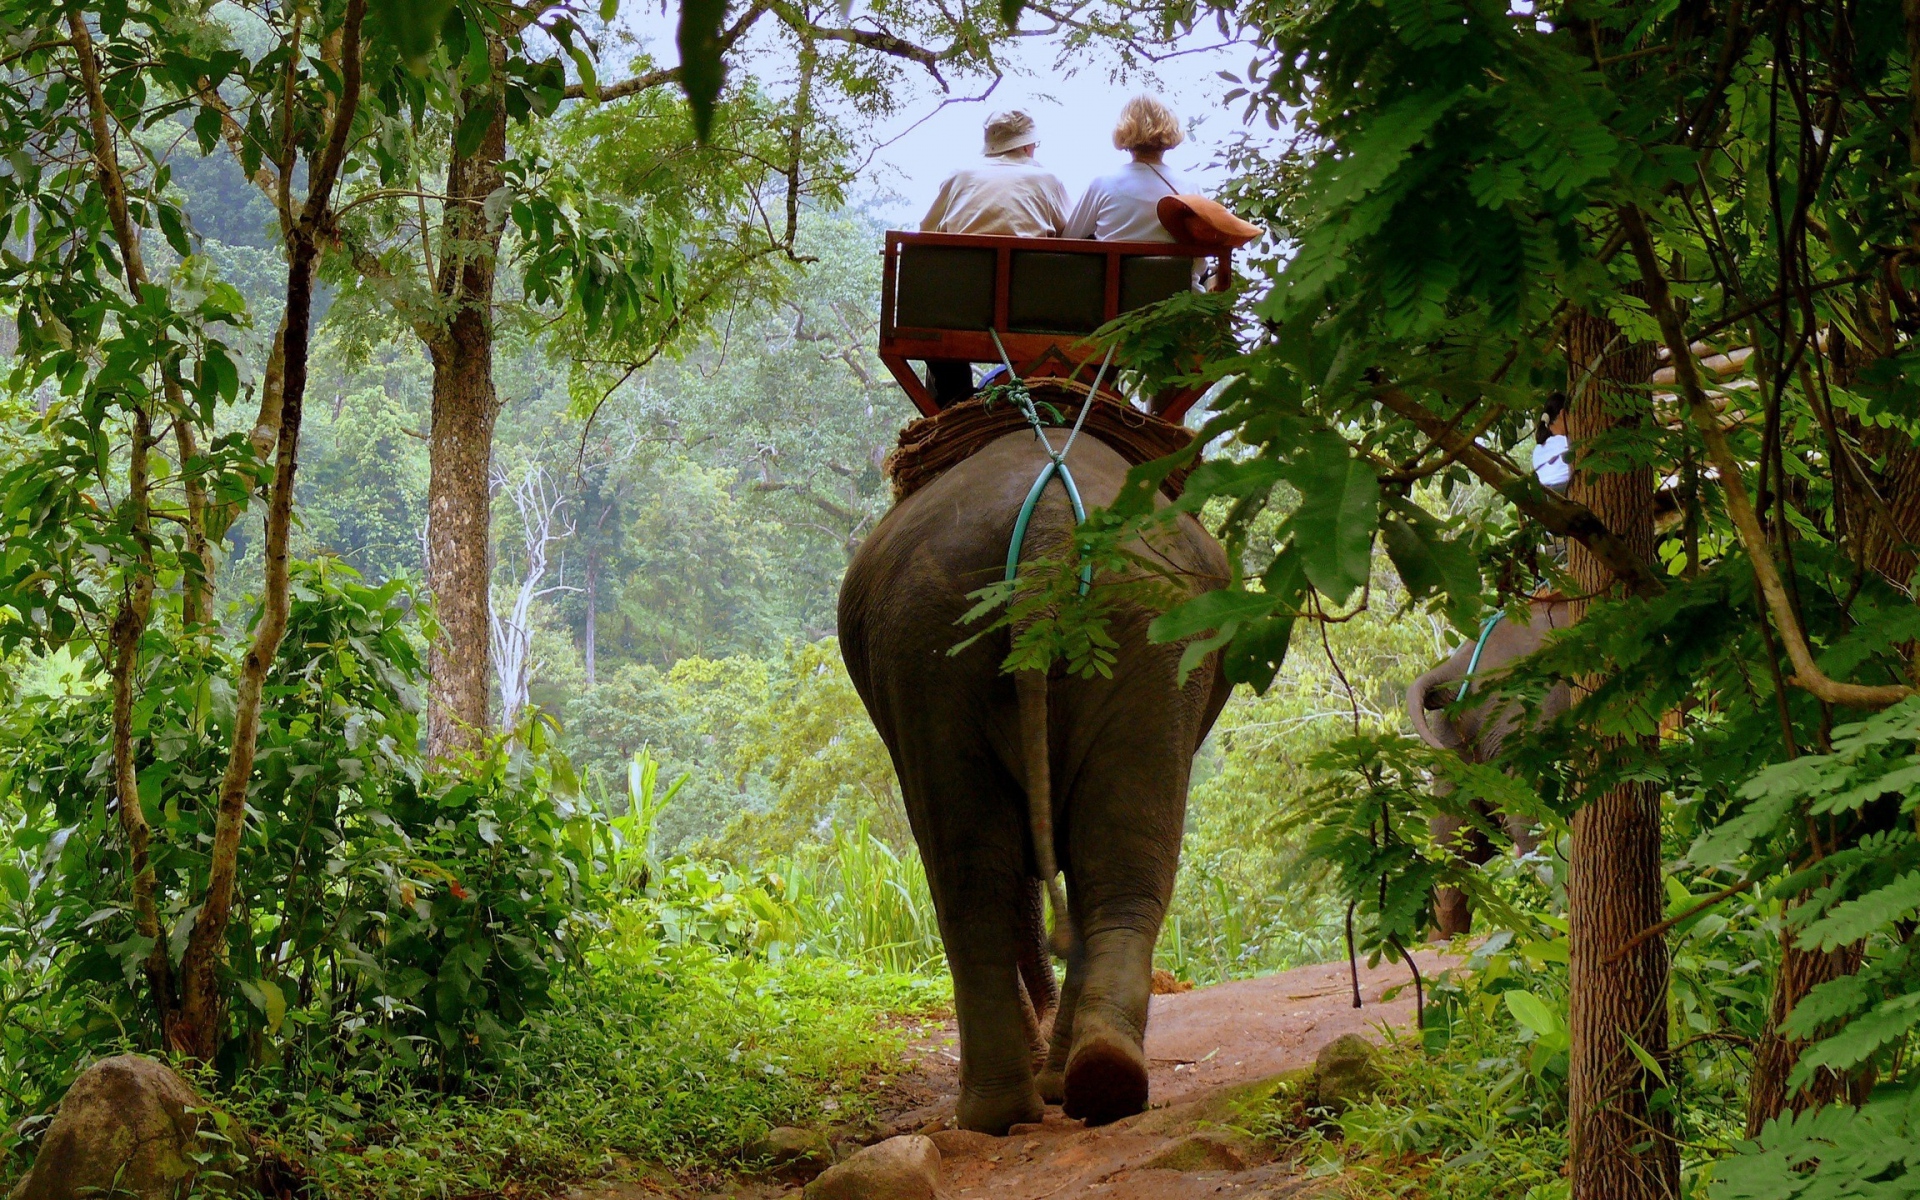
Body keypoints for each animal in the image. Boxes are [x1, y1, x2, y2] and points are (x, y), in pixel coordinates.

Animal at [838, 424, 1230, 1134]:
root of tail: (1050, 525)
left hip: (947, 638)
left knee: (986, 875)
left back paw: (1037, 1097)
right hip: (1124, 631)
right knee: (1094, 869)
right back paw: (1079, 1086)